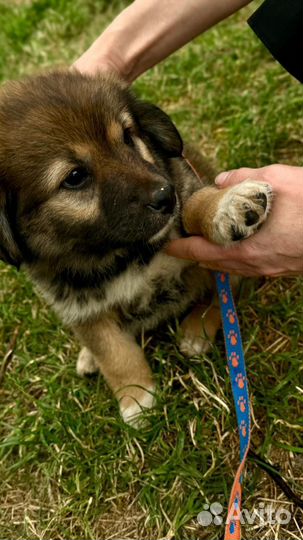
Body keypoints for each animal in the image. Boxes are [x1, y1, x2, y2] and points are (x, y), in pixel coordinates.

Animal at [0, 70, 272, 426]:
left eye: (128, 137)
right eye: (74, 177)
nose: (165, 197)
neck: (121, 254)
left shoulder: (183, 199)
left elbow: (196, 204)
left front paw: (227, 205)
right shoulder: (80, 308)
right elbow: (115, 353)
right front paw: (136, 398)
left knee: (224, 295)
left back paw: (197, 330)